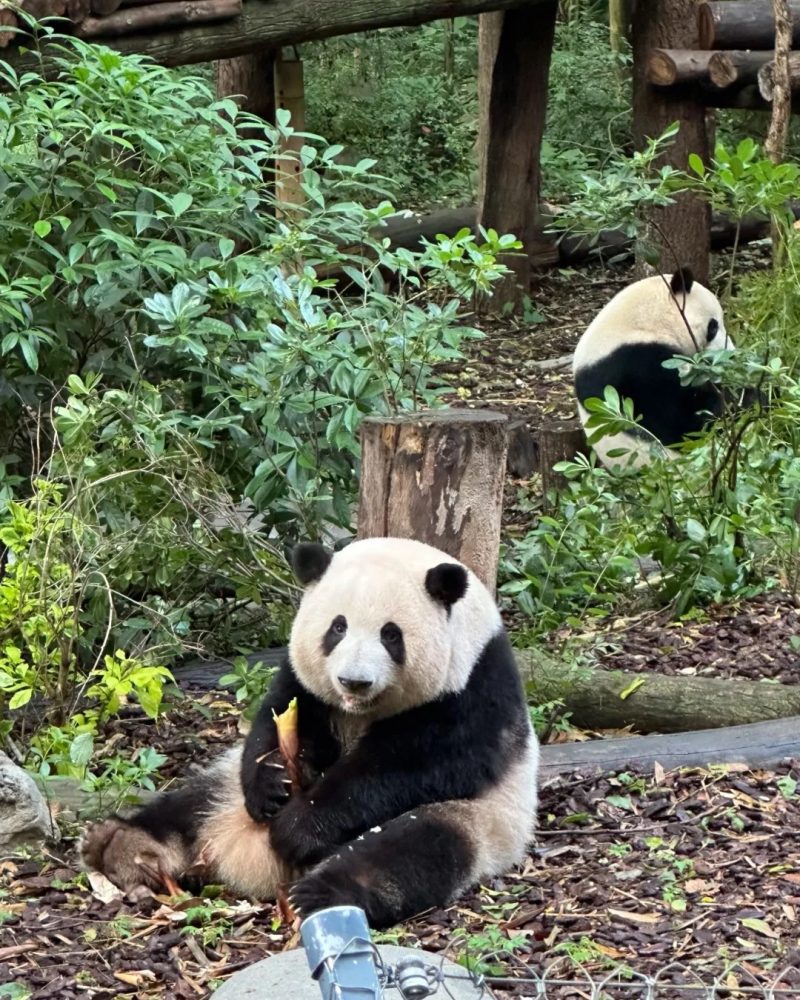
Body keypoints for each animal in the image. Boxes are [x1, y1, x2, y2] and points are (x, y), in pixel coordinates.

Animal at [80, 537, 539, 929]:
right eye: (338, 627)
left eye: (391, 635)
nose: (354, 681)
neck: (360, 711)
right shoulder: (303, 682)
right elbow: (280, 716)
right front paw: (273, 783)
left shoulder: (474, 689)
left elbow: (420, 764)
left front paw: (300, 827)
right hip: (223, 789)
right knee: (185, 807)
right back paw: (118, 844)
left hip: (480, 819)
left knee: (410, 850)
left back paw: (319, 894)